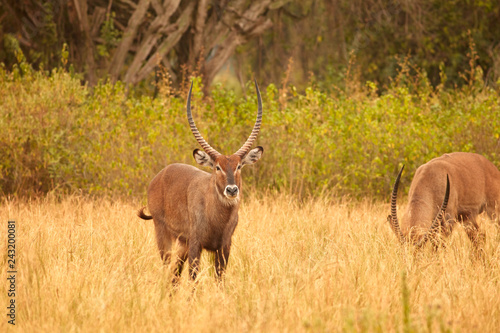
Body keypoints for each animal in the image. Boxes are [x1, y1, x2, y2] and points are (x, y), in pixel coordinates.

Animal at [137, 80, 262, 280]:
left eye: (239, 166)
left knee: (175, 275)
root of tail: (160, 175)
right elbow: (193, 277)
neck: (218, 217)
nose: (232, 190)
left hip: (182, 244)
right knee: (167, 268)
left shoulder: (224, 246)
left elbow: (220, 278)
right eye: (217, 167)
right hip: (163, 234)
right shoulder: (196, 243)